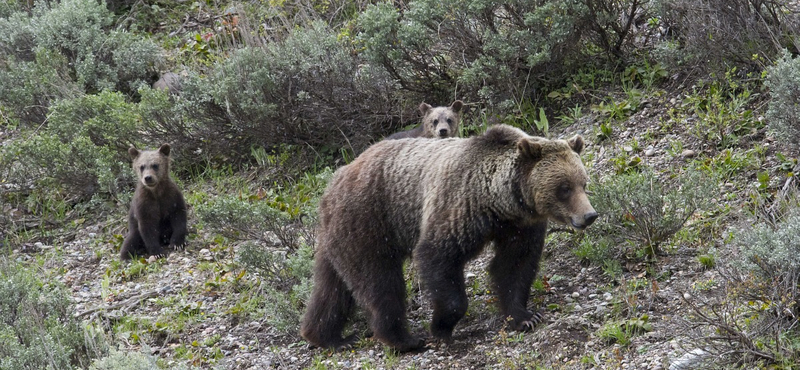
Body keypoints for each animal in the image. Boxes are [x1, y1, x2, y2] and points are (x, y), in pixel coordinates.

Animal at [304, 125, 596, 352]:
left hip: (339, 237)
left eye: (583, 183)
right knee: (379, 281)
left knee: (331, 287)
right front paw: (441, 326)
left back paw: (327, 337)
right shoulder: (459, 207)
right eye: (564, 188)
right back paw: (403, 339)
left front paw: (525, 316)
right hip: (369, 220)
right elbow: (437, 256)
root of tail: (333, 182)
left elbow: (514, 265)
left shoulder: (520, 226)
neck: (499, 203)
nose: (589, 215)